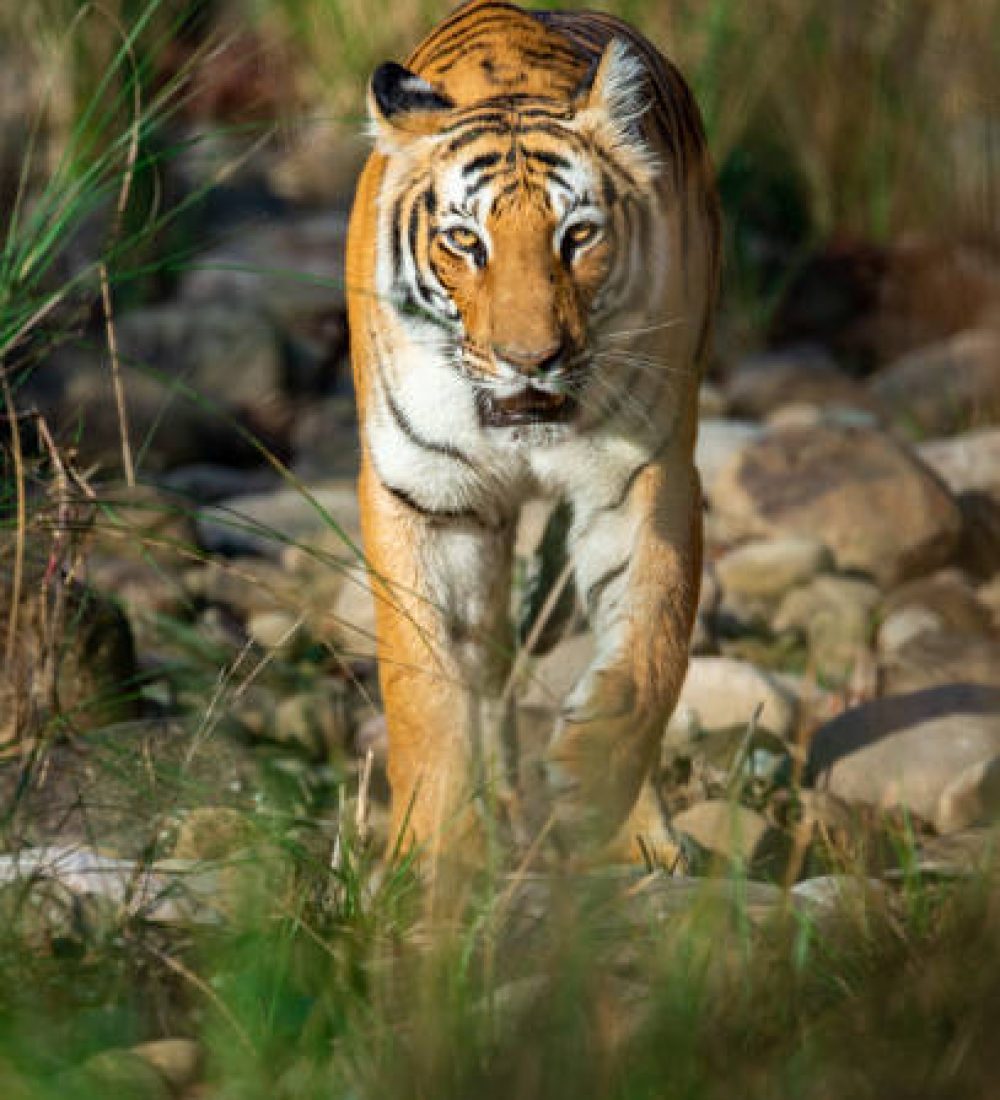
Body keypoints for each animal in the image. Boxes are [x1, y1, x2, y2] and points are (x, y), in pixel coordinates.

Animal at [345, 0, 720, 868]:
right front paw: (433, 850)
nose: (530, 359)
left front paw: (593, 778)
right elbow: (423, 687)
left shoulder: (645, 477)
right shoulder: (423, 499)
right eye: (464, 241)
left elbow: (655, 637)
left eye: (576, 236)